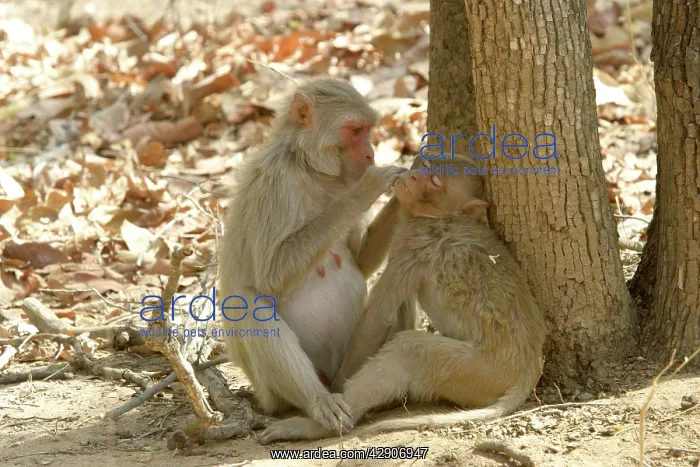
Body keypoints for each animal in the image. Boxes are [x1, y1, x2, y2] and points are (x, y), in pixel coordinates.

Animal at [217, 78, 408, 434]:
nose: (371, 153)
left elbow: (362, 262)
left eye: (368, 130)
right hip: (271, 393)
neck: (310, 170)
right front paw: (370, 188)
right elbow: (271, 277)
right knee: (249, 303)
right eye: (355, 130)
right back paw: (318, 404)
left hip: (350, 362)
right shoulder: (274, 184)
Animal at [258, 154, 547, 443]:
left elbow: (379, 315)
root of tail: (529, 369)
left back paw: (318, 427)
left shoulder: (411, 246)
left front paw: (337, 387)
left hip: (478, 371)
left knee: (409, 349)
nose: (415, 174)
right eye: (427, 167)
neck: (441, 218)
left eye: (434, 181)